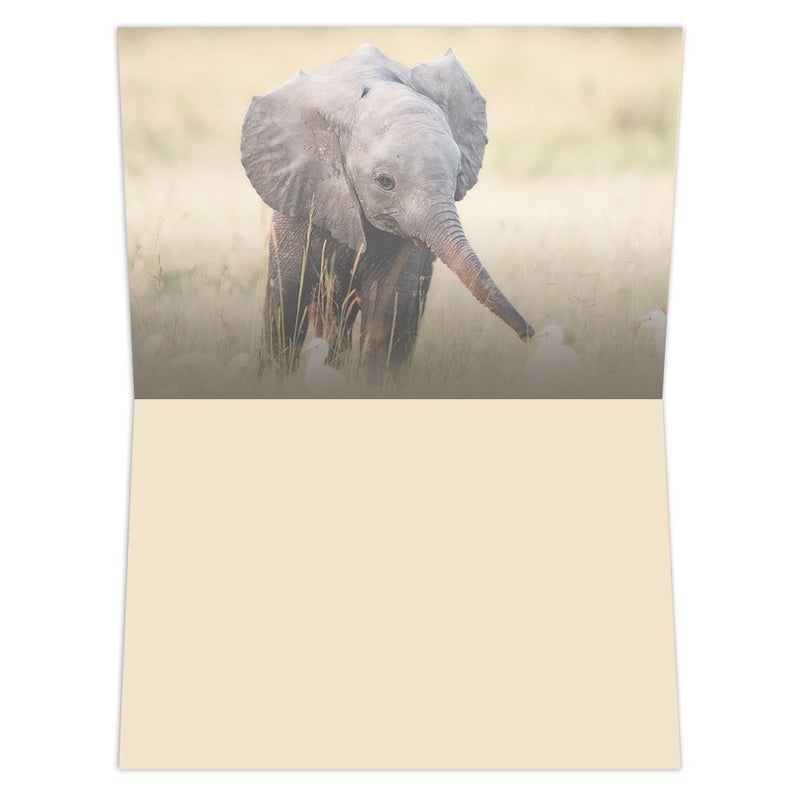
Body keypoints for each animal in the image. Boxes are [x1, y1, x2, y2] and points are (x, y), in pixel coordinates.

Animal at [241, 43, 534, 385]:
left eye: (459, 173)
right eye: (385, 181)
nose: (530, 334)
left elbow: (387, 305)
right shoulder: (299, 194)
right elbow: (288, 298)